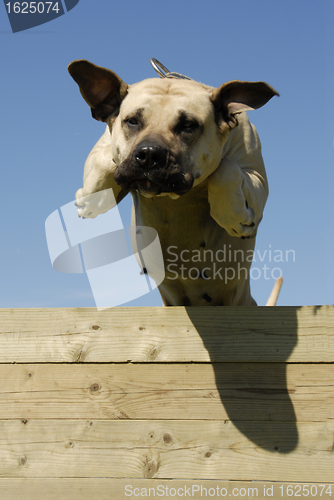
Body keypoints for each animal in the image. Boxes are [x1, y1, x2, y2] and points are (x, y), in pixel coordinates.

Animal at [69, 60, 280, 306]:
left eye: (188, 125)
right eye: (132, 121)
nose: (149, 154)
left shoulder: (256, 179)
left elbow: (224, 167)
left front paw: (232, 216)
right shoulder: (103, 150)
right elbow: (106, 161)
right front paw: (93, 201)